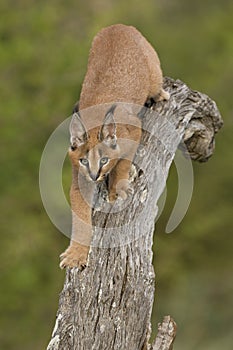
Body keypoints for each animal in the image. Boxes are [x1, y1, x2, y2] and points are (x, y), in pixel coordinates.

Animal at [60, 24, 169, 268]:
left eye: (103, 160)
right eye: (83, 161)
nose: (94, 175)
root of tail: (117, 26)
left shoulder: (134, 129)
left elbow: (123, 162)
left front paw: (116, 190)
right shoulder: (79, 180)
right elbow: (80, 218)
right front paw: (76, 254)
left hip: (153, 71)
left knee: (158, 85)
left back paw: (161, 95)